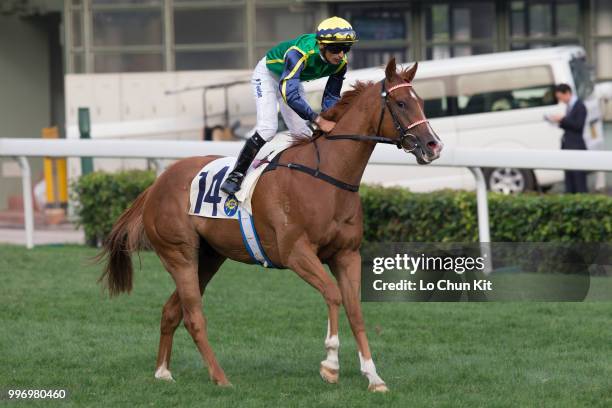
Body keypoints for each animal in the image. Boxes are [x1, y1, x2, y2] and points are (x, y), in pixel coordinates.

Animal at [101, 58, 444, 392]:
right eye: (401, 103)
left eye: (420, 101)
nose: (433, 145)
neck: (326, 176)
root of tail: (155, 185)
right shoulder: (296, 253)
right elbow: (333, 294)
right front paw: (330, 365)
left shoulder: (347, 254)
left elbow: (355, 310)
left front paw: (373, 377)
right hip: (179, 254)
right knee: (194, 316)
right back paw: (220, 377)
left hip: (208, 258)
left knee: (172, 310)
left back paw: (163, 372)